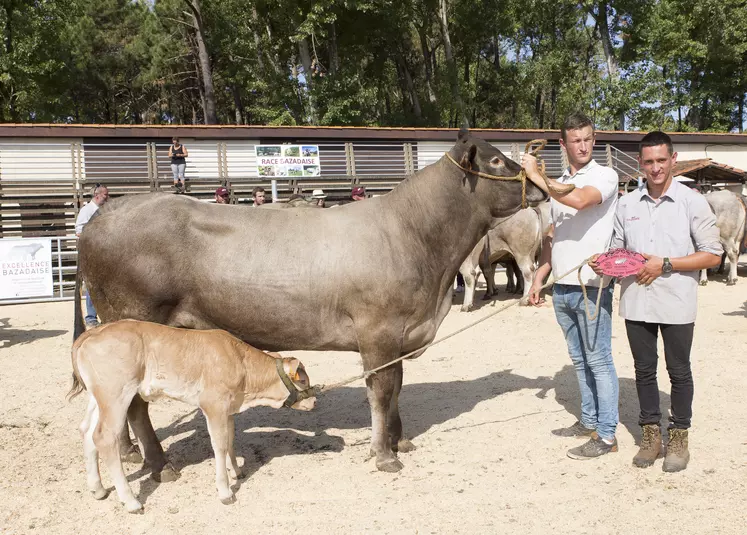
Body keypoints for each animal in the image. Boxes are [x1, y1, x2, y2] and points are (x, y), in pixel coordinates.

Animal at [70, 320, 316, 512]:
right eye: (303, 379)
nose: (314, 401)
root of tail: (96, 331)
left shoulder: (227, 409)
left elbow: (230, 440)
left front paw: (236, 471)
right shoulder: (213, 405)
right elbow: (219, 445)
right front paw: (225, 491)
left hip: (99, 398)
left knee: (87, 431)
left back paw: (98, 489)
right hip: (116, 394)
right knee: (104, 437)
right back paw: (131, 502)